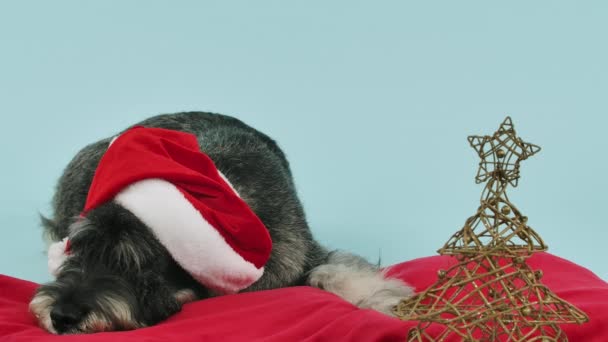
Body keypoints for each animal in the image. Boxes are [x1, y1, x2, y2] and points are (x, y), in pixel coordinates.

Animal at [28, 112, 414, 334]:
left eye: (140, 262)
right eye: (77, 251)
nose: (61, 316)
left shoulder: (303, 252)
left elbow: (337, 269)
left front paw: (380, 298)